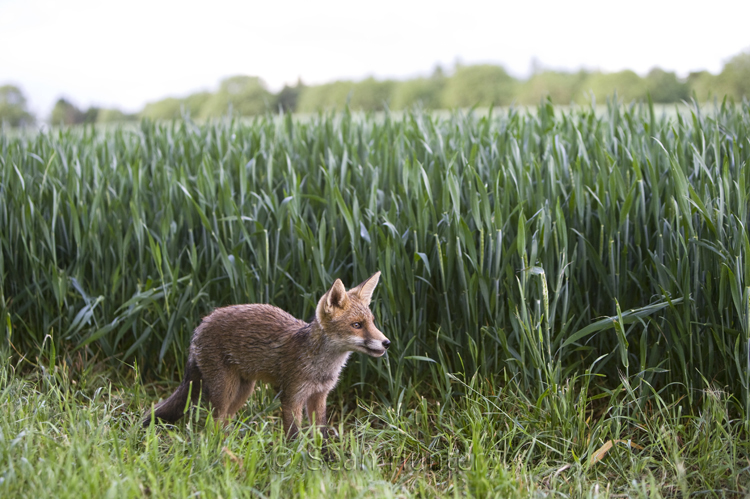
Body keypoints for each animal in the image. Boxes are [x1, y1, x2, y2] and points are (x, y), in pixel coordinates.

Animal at [141, 272, 390, 440]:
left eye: (372, 322)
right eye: (357, 325)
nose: (387, 343)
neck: (320, 367)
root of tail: (202, 323)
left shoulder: (319, 396)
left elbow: (321, 435)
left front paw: (325, 461)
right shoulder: (291, 397)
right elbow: (294, 437)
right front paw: (298, 463)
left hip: (243, 391)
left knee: (223, 423)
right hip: (225, 391)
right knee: (212, 424)